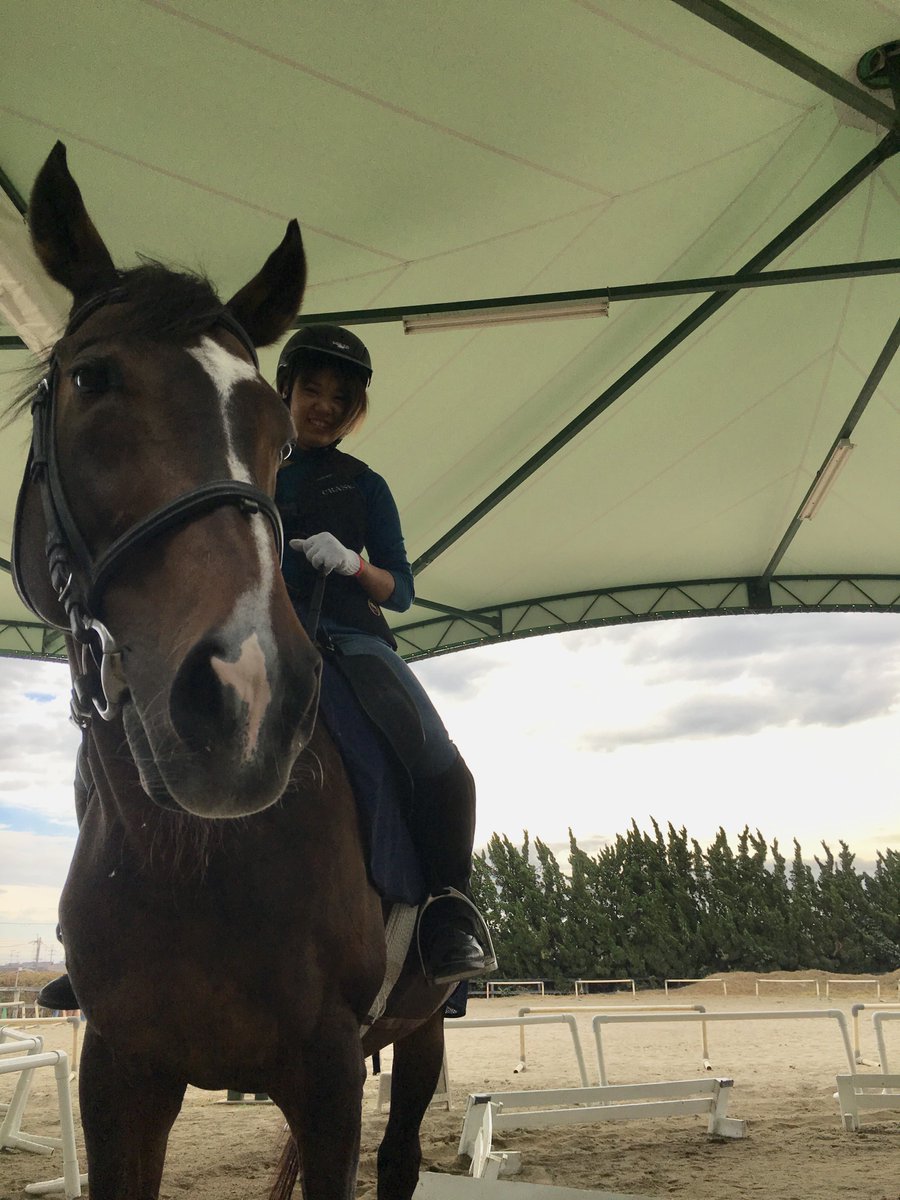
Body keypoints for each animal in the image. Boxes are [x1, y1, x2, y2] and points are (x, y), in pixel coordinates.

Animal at [11, 142, 455, 1200]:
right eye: (90, 377)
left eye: (278, 433)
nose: (246, 699)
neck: (191, 859)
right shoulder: (121, 1068)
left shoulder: (328, 1072)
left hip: (422, 1026)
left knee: (401, 1156)